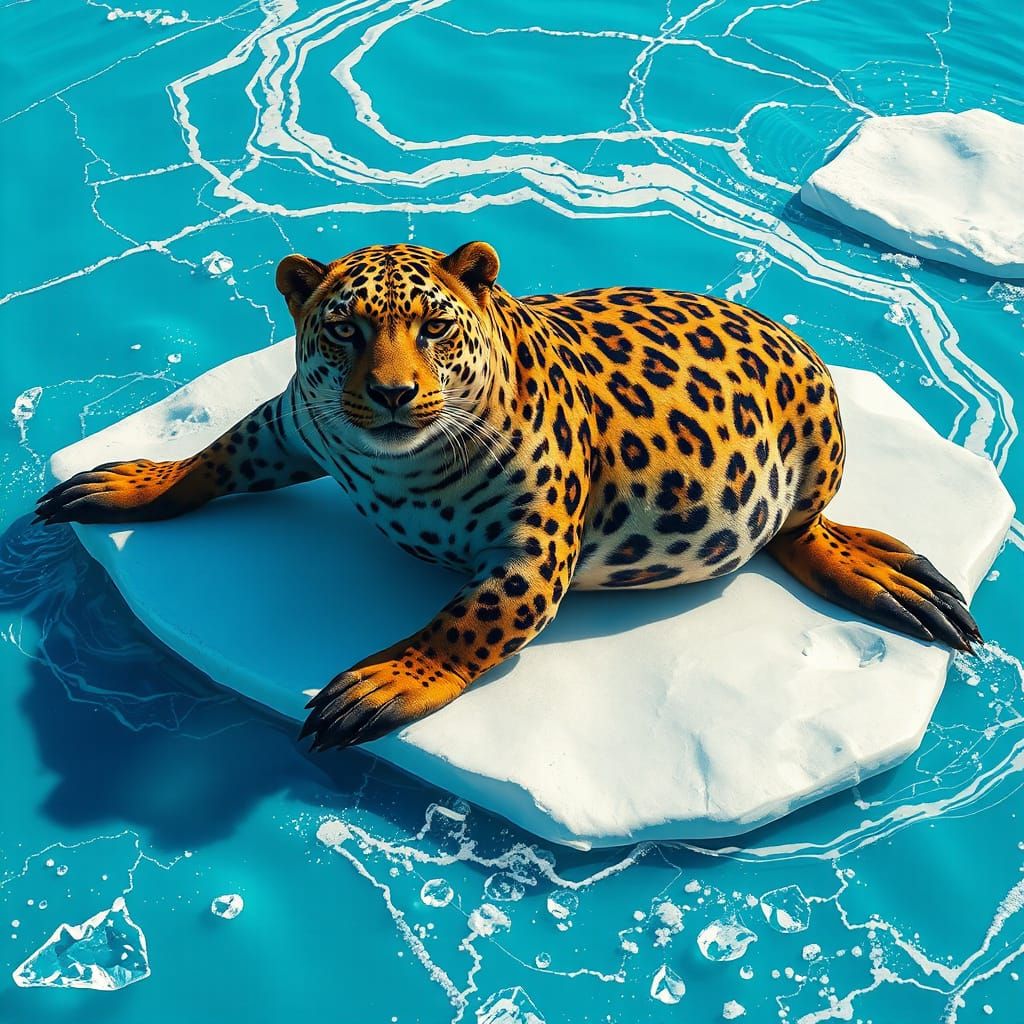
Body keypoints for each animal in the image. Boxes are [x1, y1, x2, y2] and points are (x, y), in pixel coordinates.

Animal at [37, 241, 981, 749]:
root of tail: (788, 333)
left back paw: (887, 577)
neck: (390, 467)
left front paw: (384, 681)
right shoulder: (290, 422)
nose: (392, 394)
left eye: (432, 327)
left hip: (817, 438)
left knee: (803, 533)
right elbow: (216, 456)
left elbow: (465, 625)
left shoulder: (536, 551)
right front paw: (135, 481)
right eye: (344, 329)